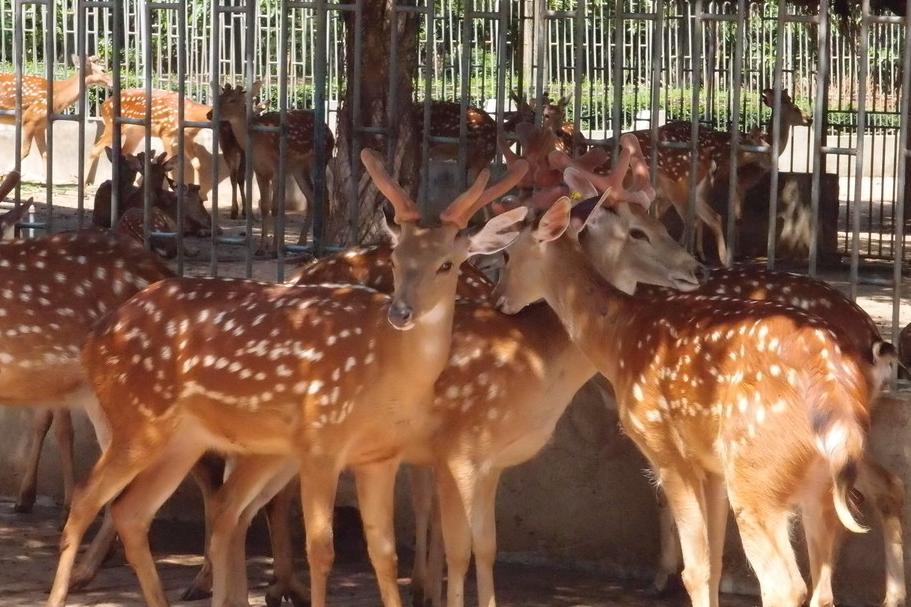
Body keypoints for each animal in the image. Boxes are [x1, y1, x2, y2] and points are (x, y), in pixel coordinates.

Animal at [46, 151, 532, 607]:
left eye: (447, 264)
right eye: (396, 259)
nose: (402, 312)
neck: (384, 368)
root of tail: (94, 341)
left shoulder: (380, 457)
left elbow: (384, 553)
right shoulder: (320, 441)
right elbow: (321, 550)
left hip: (182, 439)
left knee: (133, 511)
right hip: (139, 420)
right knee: (87, 499)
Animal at [212, 81, 336, 252]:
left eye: (232, 100)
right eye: (219, 97)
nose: (211, 114)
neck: (257, 142)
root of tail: (331, 134)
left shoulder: (277, 168)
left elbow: (275, 207)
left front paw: (274, 248)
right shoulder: (260, 171)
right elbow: (264, 206)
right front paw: (261, 247)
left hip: (321, 160)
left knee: (324, 196)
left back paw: (322, 242)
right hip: (298, 168)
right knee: (311, 197)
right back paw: (301, 242)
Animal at [492, 135, 884, 607]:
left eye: (508, 253)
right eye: (640, 229)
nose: (498, 298)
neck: (618, 338)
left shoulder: (663, 445)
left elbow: (694, 569)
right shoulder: (709, 465)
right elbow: (712, 566)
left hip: (758, 476)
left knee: (785, 583)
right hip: (818, 486)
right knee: (825, 584)